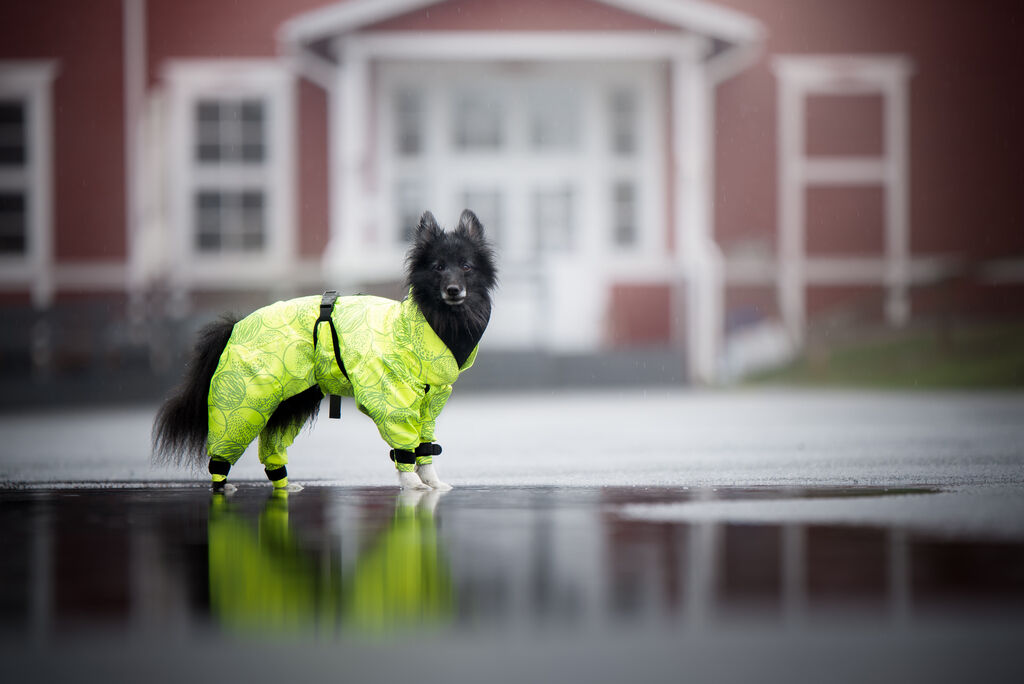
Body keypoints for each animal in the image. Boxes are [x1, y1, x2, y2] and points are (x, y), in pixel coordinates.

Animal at [152, 209, 499, 491]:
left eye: (466, 266)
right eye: (438, 267)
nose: (453, 290)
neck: (429, 324)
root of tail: (235, 325)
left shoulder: (430, 403)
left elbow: (426, 447)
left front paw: (433, 483)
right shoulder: (392, 397)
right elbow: (404, 446)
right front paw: (412, 484)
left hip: (289, 402)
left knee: (271, 446)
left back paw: (285, 484)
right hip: (244, 404)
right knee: (223, 451)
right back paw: (223, 485)